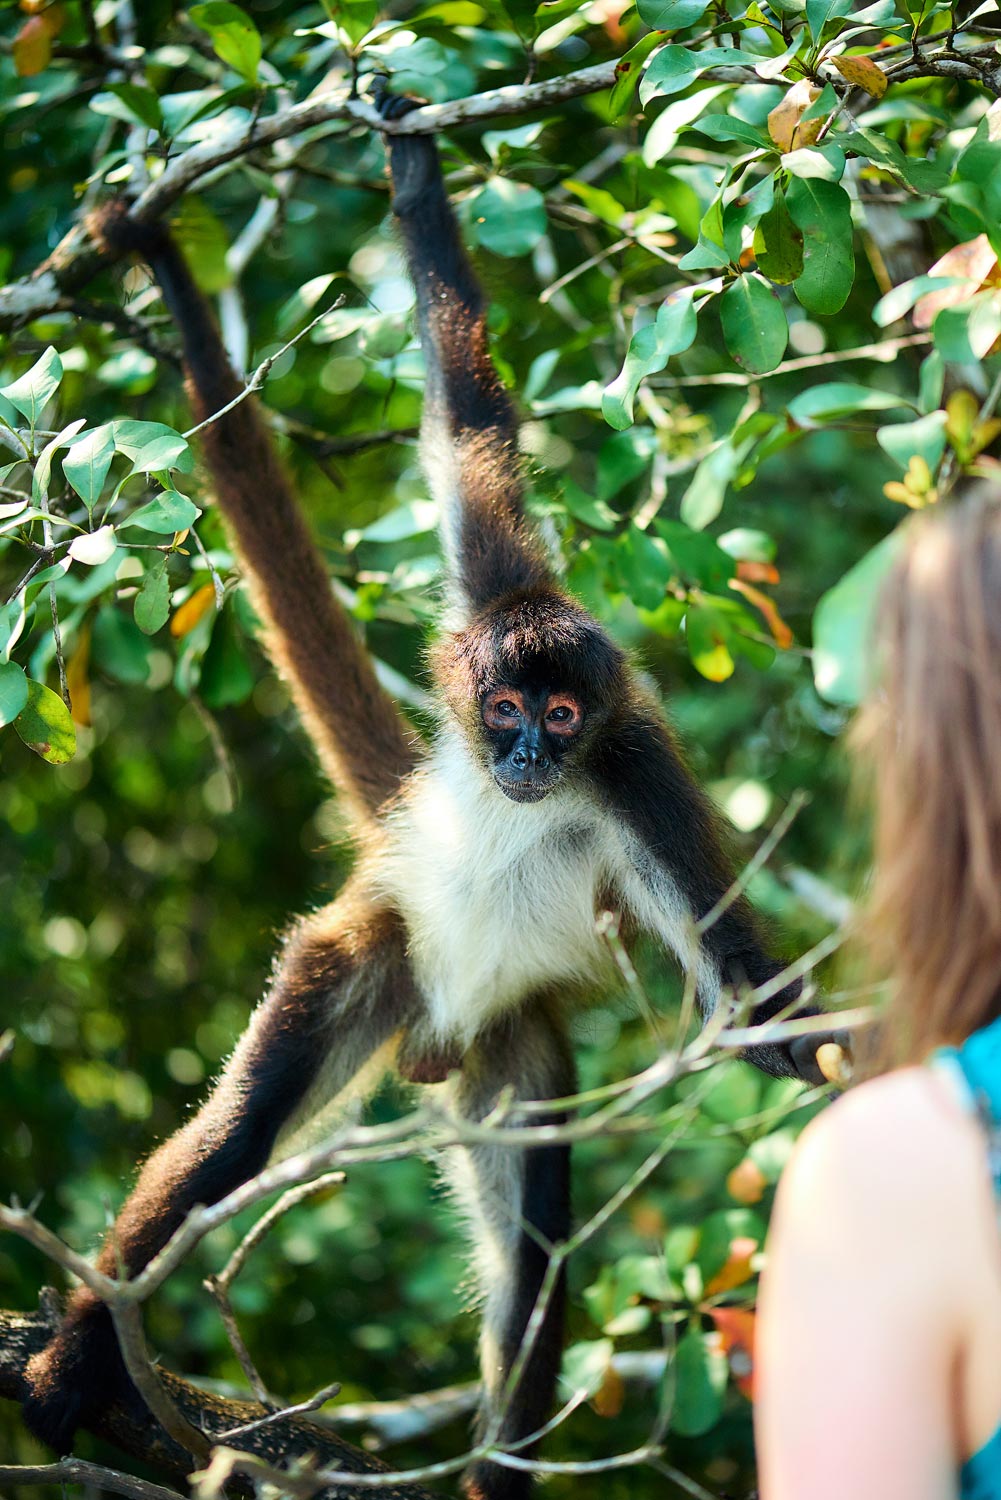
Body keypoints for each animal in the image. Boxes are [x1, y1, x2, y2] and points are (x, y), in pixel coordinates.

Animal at [23, 96, 834, 1500]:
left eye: (559, 721)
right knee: (232, 1141)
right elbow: (466, 423)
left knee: (537, 1250)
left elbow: (738, 988)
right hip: (367, 961)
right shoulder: (496, 592)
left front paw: (804, 1043)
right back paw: (85, 1343)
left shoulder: (632, 769)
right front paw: (410, 168)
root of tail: (437, 1028)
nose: (522, 764)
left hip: (510, 1053)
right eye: (505, 710)